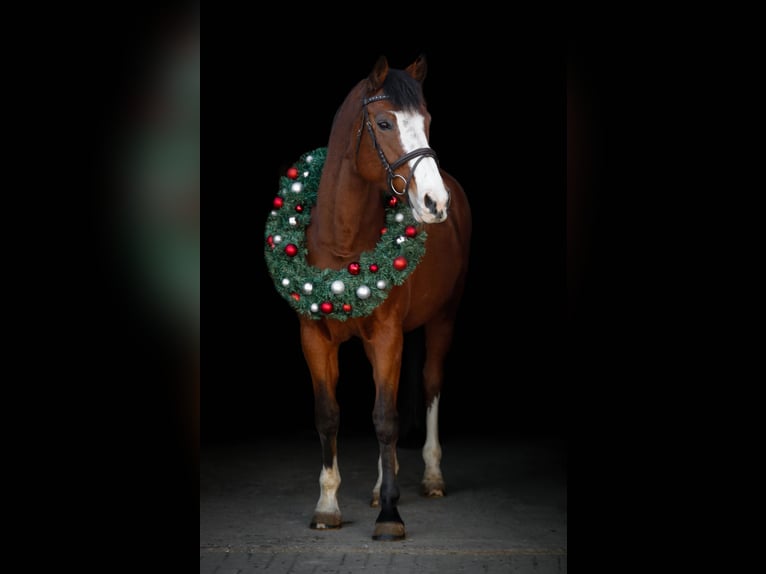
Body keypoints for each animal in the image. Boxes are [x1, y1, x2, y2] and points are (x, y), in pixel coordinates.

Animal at [264, 54, 471, 540]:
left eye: (427, 121)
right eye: (384, 122)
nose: (435, 202)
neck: (341, 242)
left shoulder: (388, 334)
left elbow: (385, 418)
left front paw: (391, 515)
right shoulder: (314, 338)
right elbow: (329, 415)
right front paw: (327, 505)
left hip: (444, 317)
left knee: (429, 386)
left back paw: (430, 477)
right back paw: (379, 486)